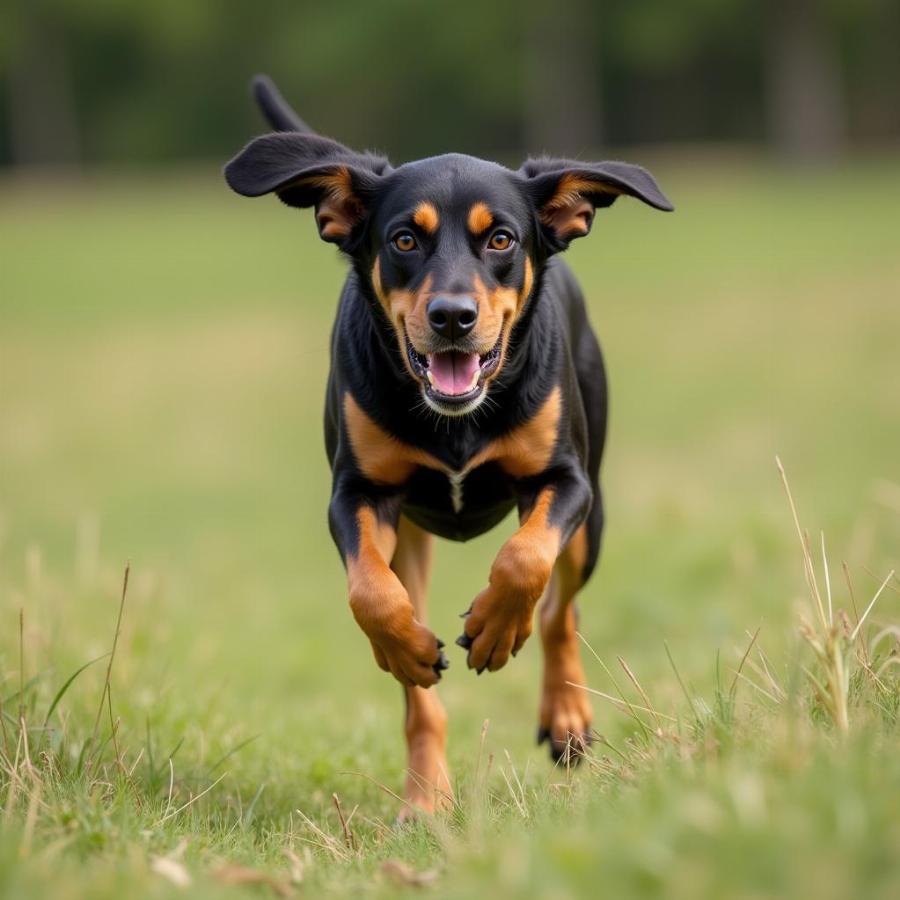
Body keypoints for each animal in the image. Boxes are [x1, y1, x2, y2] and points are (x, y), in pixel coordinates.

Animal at [229, 75, 672, 816]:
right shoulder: (359, 493)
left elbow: (526, 561)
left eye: (501, 238)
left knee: (563, 608)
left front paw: (497, 628)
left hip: (595, 516)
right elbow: (371, 596)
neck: (456, 419)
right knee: (419, 684)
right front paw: (406, 648)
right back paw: (425, 794)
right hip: (411, 537)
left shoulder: (566, 481)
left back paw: (566, 720)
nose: (453, 318)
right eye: (405, 238)